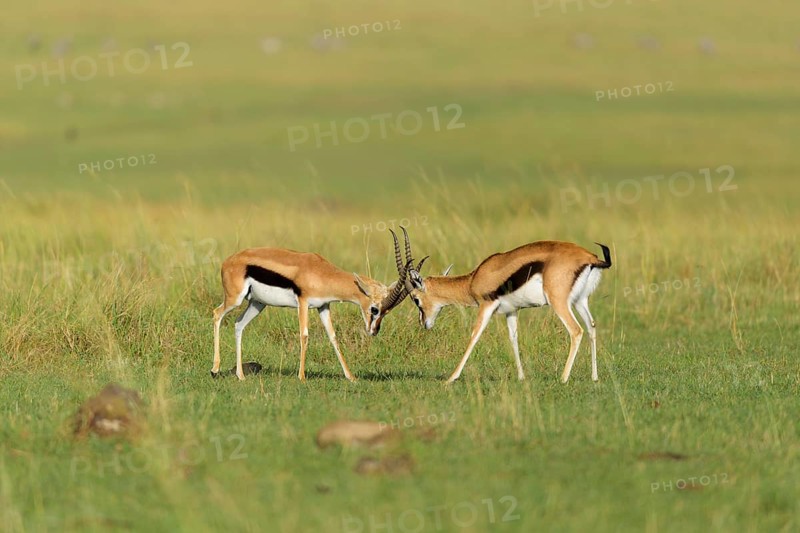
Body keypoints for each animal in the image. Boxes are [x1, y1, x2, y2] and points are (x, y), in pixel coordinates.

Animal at [212, 243, 409, 381]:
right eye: (374, 309)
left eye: (386, 311)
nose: (373, 331)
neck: (322, 272)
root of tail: (228, 261)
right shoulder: (304, 302)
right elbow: (304, 335)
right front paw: (302, 376)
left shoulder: (324, 306)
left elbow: (333, 337)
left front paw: (351, 377)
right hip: (235, 299)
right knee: (216, 314)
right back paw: (214, 370)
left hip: (257, 304)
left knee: (239, 324)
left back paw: (240, 375)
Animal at [400, 234, 612, 383]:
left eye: (415, 299)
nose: (424, 323)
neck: (474, 279)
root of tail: (591, 258)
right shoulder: (512, 311)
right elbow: (513, 339)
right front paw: (521, 377)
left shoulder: (486, 306)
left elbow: (474, 336)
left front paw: (451, 378)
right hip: (580, 301)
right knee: (592, 327)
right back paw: (594, 377)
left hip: (559, 302)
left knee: (576, 331)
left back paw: (563, 378)